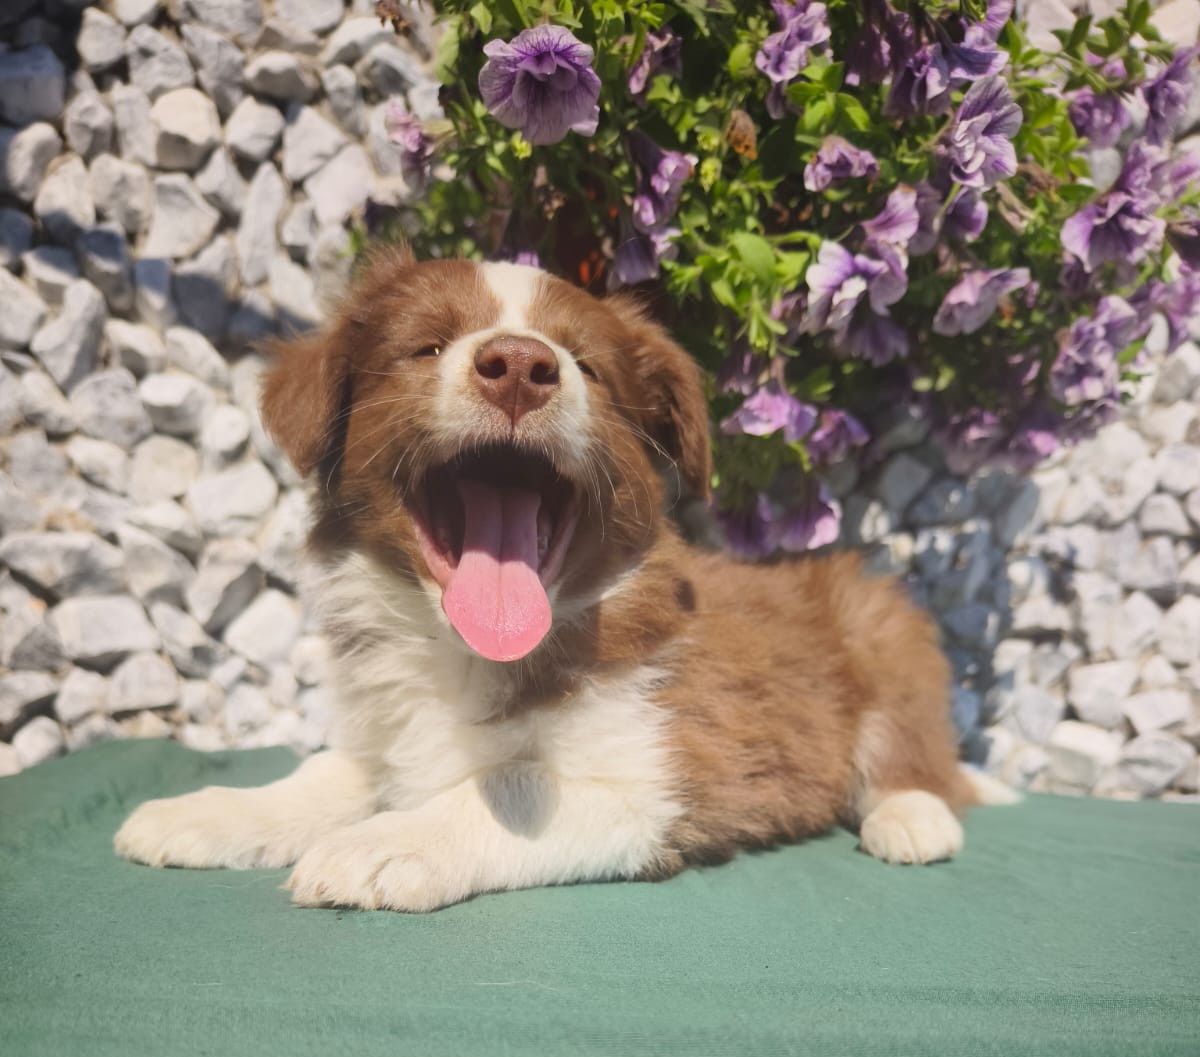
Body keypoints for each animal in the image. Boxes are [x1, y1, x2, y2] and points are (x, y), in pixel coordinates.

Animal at [114, 247, 1012, 907]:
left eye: (585, 362)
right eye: (428, 345)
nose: (519, 363)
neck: (460, 646)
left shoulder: (657, 776)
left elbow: (506, 786)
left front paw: (383, 841)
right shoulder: (388, 736)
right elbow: (327, 773)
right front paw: (213, 811)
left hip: (881, 622)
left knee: (915, 754)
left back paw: (912, 815)